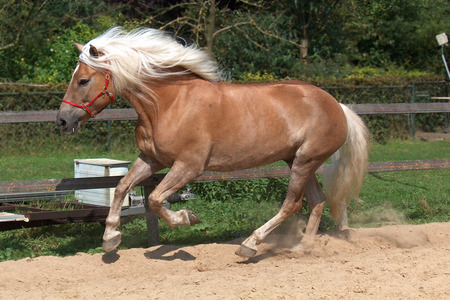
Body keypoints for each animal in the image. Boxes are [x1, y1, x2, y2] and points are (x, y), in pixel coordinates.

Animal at [55, 27, 370, 258]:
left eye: (83, 80)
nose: (62, 121)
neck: (167, 104)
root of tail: (337, 105)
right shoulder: (151, 159)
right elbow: (122, 187)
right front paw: (111, 238)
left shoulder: (189, 166)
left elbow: (155, 199)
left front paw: (187, 217)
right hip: (298, 160)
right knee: (317, 201)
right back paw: (302, 248)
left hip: (305, 161)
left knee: (292, 204)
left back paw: (250, 245)